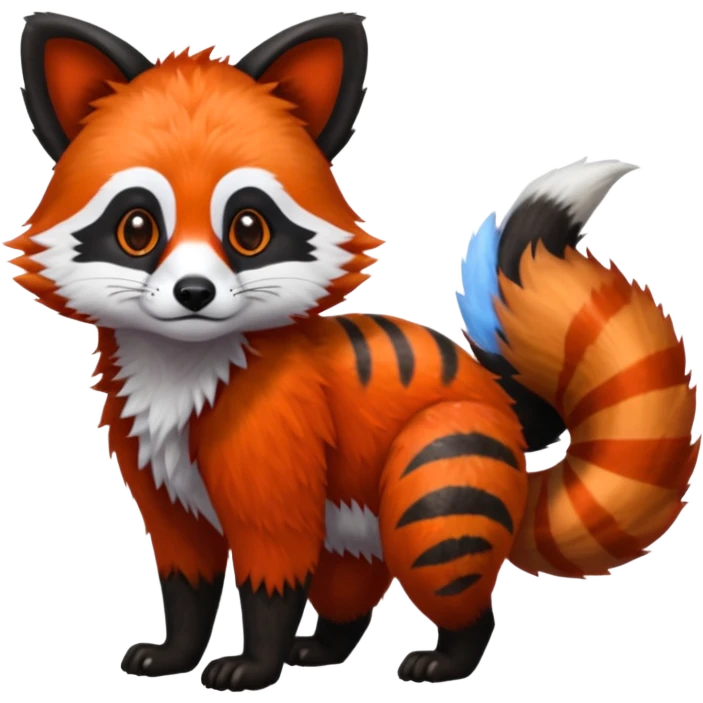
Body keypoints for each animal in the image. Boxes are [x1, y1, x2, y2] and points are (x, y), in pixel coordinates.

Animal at [9, 10, 699, 693]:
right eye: (137, 228)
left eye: (249, 228)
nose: (194, 293)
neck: (183, 374)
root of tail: (498, 399)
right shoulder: (166, 496)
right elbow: (187, 587)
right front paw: (176, 655)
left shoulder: (278, 482)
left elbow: (271, 582)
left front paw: (253, 667)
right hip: (354, 521)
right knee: (349, 590)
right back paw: (322, 649)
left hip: (437, 481)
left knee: (459, 588)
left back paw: (446, 661)